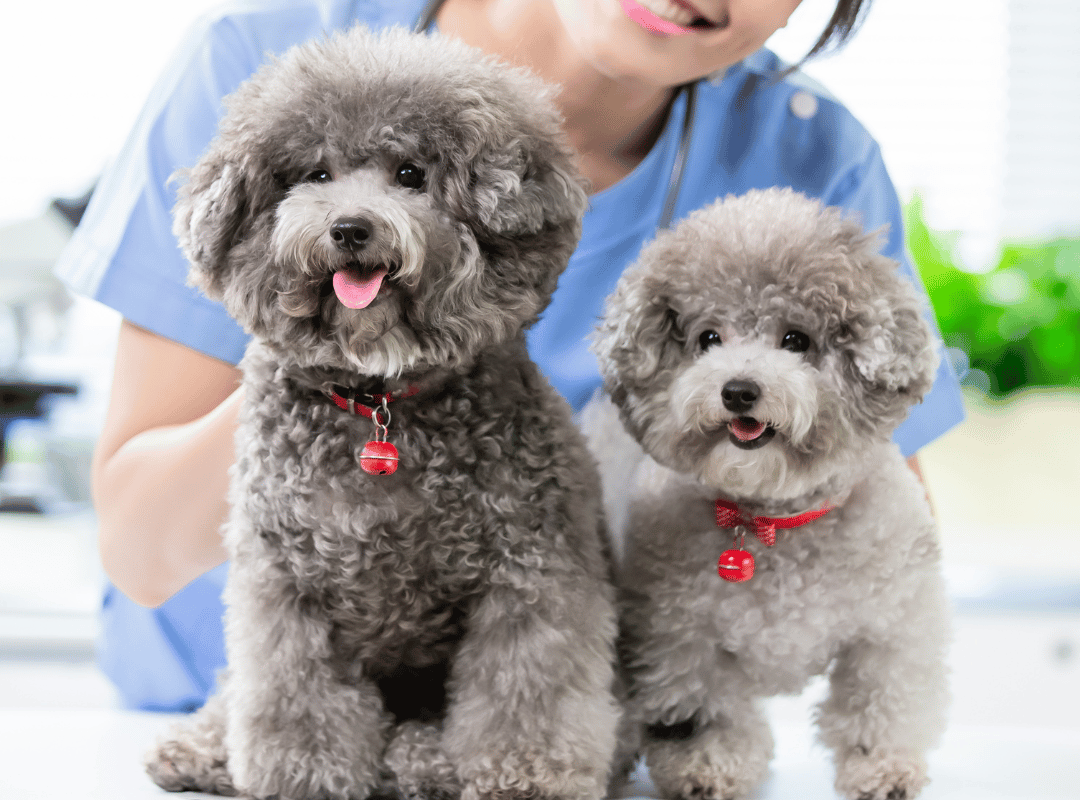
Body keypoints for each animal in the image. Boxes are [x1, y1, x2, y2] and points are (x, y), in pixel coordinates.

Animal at [142, 24, 617, 798]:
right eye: (315, 175)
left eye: (410, 174)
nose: (349, 228)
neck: (378, 404)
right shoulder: (286, 586)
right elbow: (291, 698)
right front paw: (302, 774)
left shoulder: (531, 575)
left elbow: (527, 695)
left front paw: (523, 776)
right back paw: (201, 748)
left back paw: (422, 760)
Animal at [591, 186, 954, 798]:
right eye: (708, 338)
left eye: (795, 340)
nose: (738, 390)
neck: (772, 523)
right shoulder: (680, 635)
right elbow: (706, 709)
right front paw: (707, 766)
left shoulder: (891, 624)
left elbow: (880, 697)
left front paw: (880, 766)